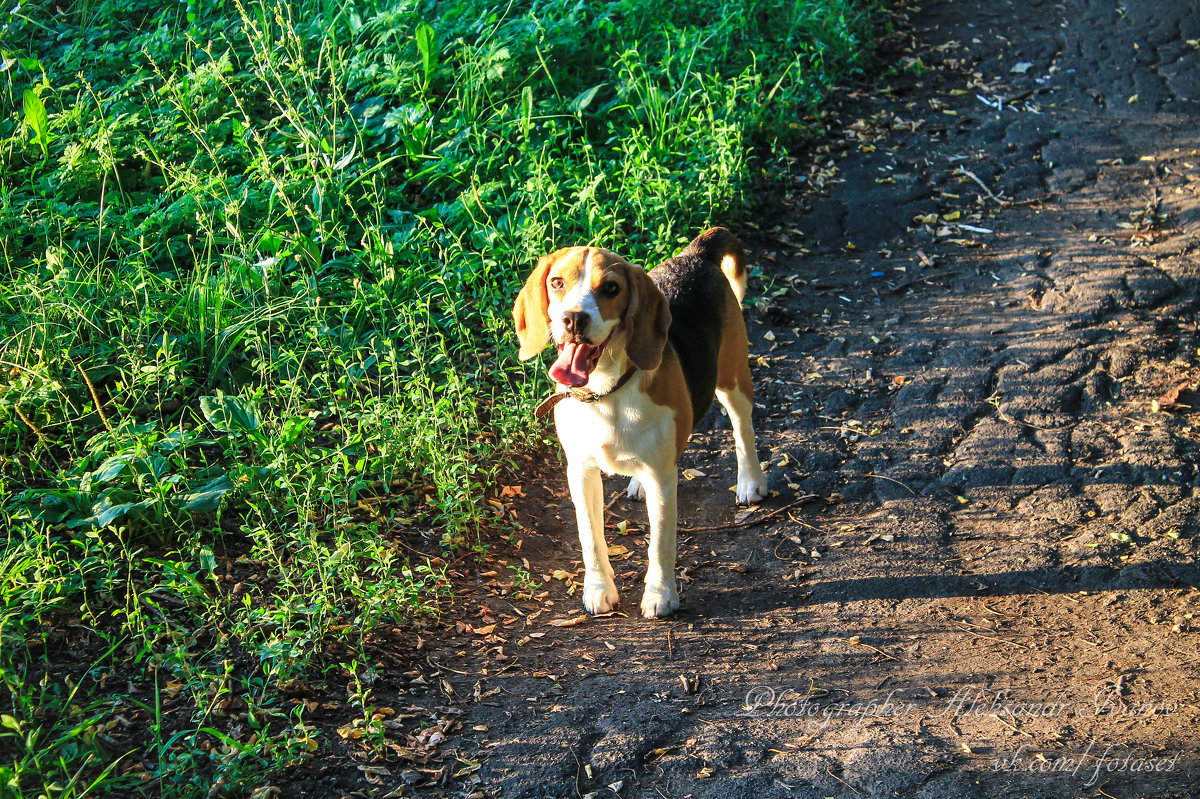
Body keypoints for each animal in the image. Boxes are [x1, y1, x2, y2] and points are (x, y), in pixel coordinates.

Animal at [511, 226, 763, 619]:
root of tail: (695, 253)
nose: (573, 319)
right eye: (556, 283)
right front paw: (599, 590)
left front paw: (660, 596)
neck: (604, 392)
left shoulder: (662, 478)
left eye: (610, 288)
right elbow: (590, 537)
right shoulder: (580, 471)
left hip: (733, 380)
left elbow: (660, 543)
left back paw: (751, 482)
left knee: (743, 430)